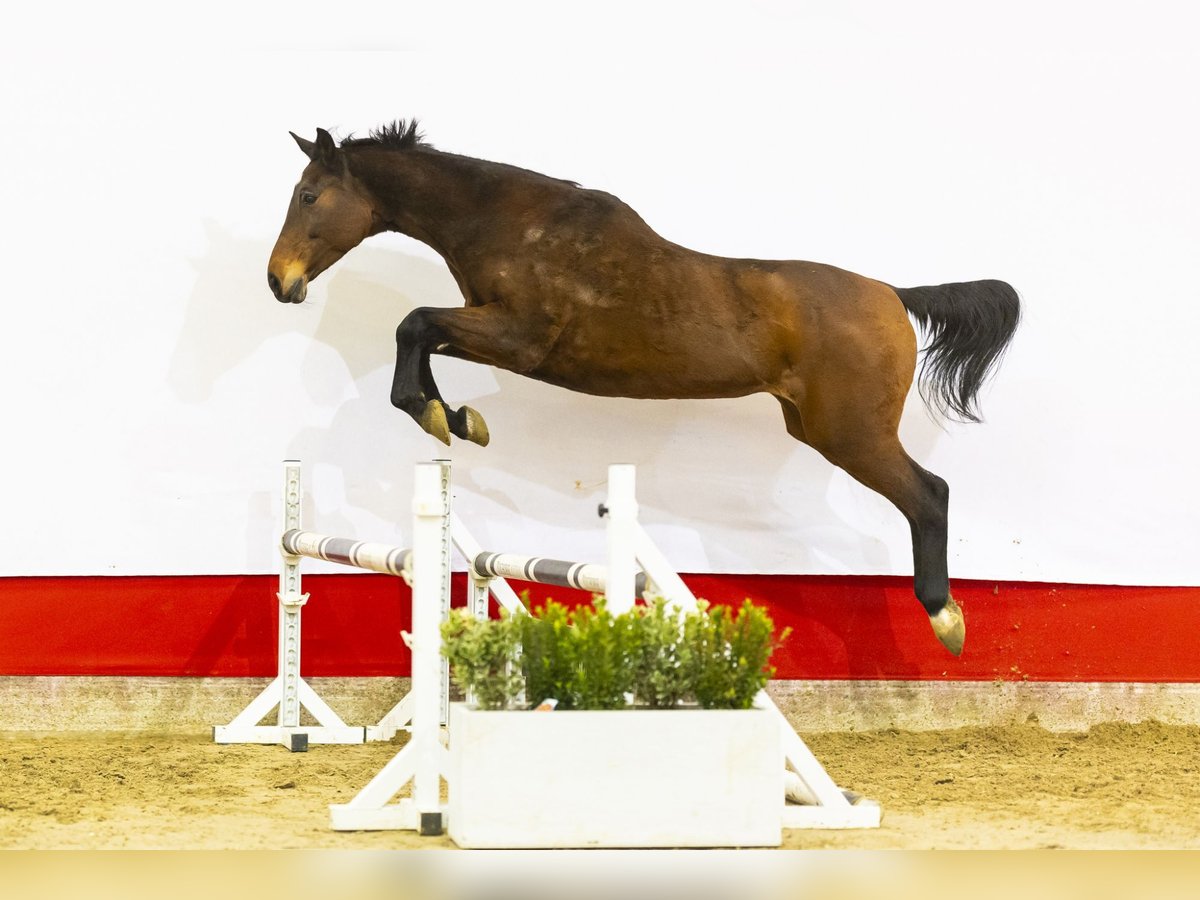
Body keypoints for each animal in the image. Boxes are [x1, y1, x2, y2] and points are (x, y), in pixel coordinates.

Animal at [267, 121, 1017, 657]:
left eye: (308, 196)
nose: (279, 281)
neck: (512, 224)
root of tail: (893, 294)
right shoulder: (491, 329)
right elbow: (420, 338)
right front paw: (452, 417)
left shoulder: (521, 338)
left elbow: (414, 323)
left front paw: (439, 414)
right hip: (814, 425)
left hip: (851, 433)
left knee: (929, 494)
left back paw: (945, 617)